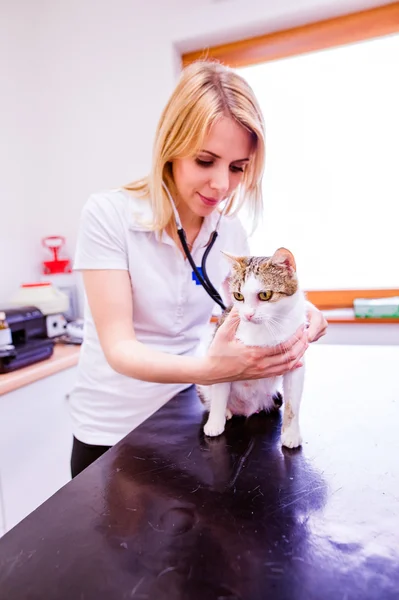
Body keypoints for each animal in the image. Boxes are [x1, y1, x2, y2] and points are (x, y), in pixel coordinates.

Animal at [198, 246, 308, 448]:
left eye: (265, 295)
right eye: (238, 296)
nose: (248, 315)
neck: (266, 328)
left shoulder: (296, 359)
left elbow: (293, 403)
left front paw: (291, 433)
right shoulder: (221, 353)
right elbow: (219, 391)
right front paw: (215, 423)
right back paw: (226, 412)